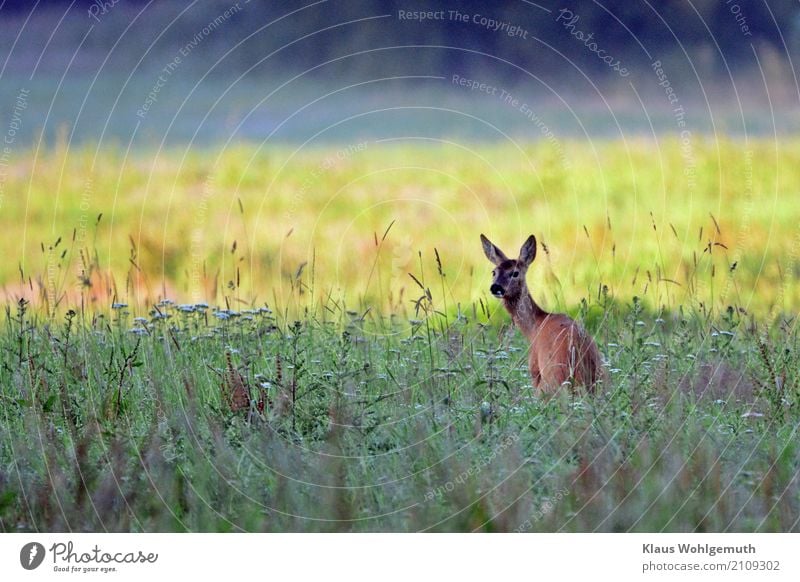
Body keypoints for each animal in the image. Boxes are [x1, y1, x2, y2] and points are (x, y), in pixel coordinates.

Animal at [482, 235, 600, 394]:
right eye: (494, 272)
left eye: (515, 273)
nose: (496, 287)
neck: (534, 327)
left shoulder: (534, 368)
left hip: (550, 380)